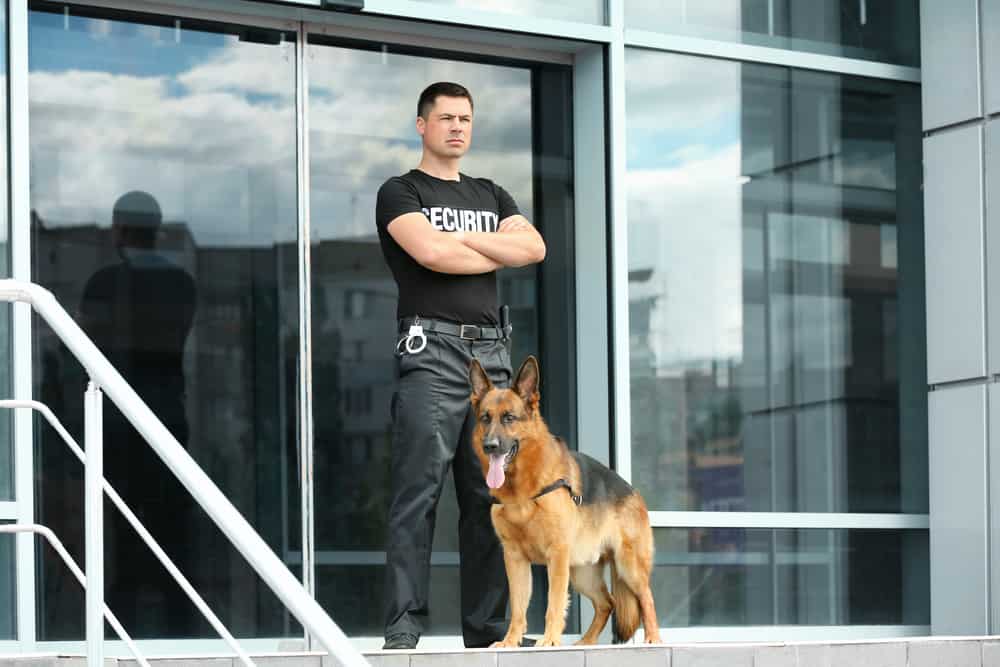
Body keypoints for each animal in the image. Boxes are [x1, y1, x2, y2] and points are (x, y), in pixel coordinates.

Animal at [470, 358, 664, 648]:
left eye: (509, 418)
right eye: (485, 418)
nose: (490, 446)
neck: (522, 490)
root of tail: (633, 491)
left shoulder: (557, 554)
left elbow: (554, 602)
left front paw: (550, 640)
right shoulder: (515, 559)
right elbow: (518, 608)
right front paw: (511, 641)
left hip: (627, 566)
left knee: (646, 598)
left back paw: (653, 638)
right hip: (581, 573)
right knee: (608, 603)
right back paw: (586, 642)